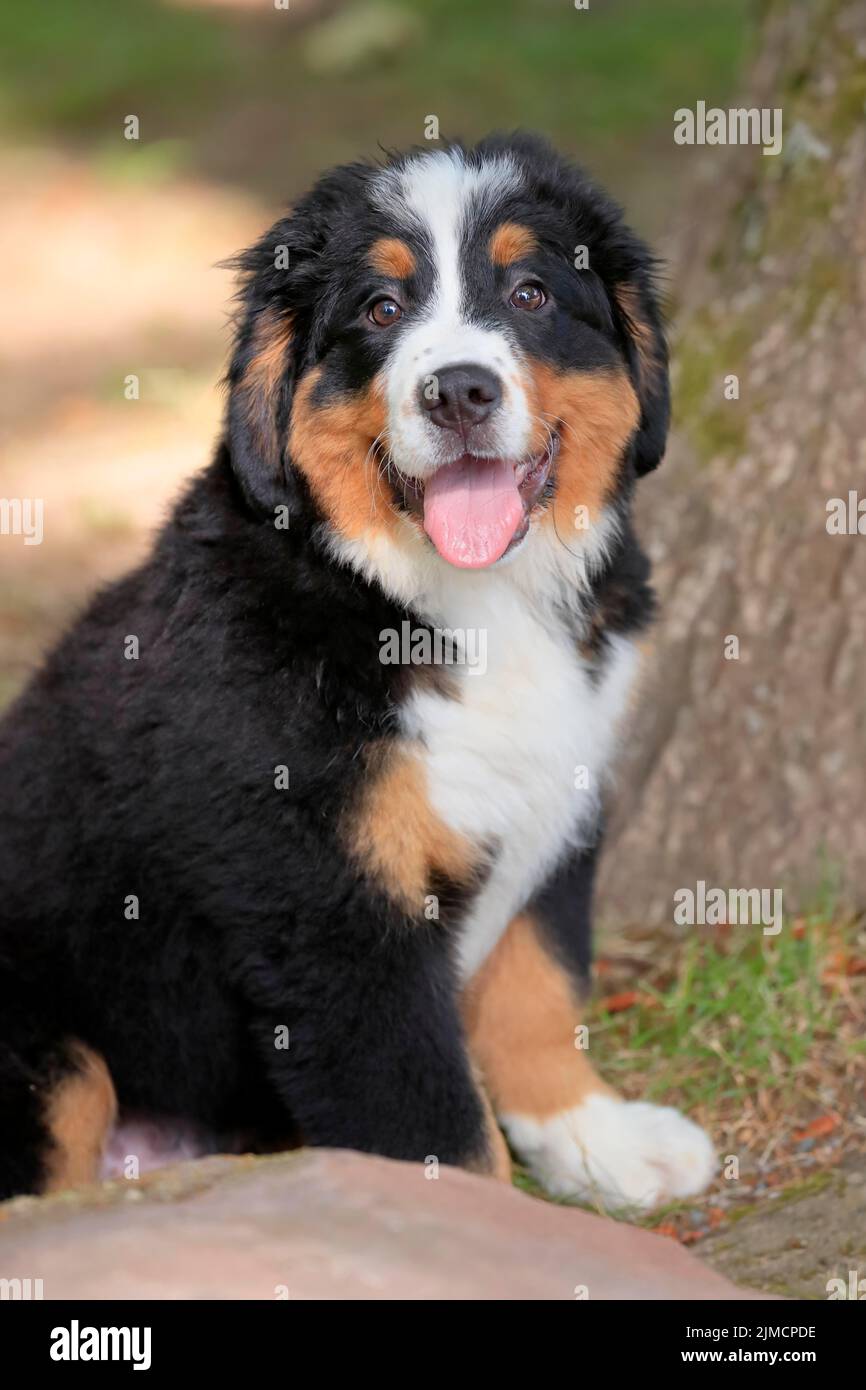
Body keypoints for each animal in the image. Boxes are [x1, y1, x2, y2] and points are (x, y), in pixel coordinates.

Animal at [0, 135, 717, 1212]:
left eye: (531, 294)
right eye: (380, 310)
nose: (458, 390)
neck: (456, 608)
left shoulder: (563, 792)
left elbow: (538, 987)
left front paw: (594, 1136)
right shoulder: (329, 904)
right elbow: (431, 1116)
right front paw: (478, 1226)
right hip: (51, 1049)